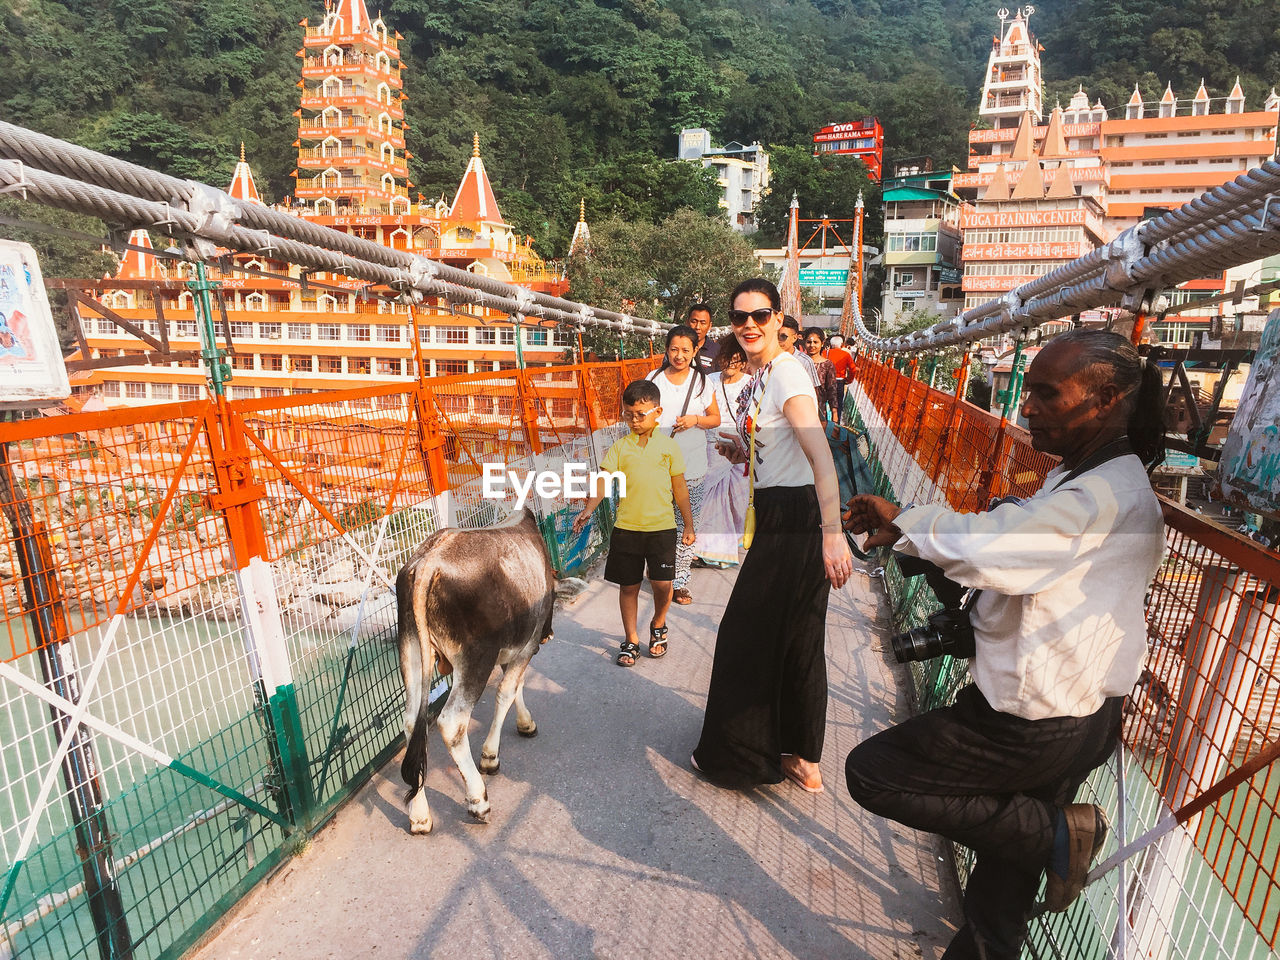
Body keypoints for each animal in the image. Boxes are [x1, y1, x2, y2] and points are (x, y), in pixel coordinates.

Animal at [394, 512, 555, 834]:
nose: (550, 635)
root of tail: (427, 562)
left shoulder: (512, 650)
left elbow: (517, 686)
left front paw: (525, 723)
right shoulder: (527, 644)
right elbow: (506, 691)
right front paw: (490, 756)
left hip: (412, 651)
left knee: (411, 722)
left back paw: (420, 816)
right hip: (475, 659)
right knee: (451, 722)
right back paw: (478, 800)